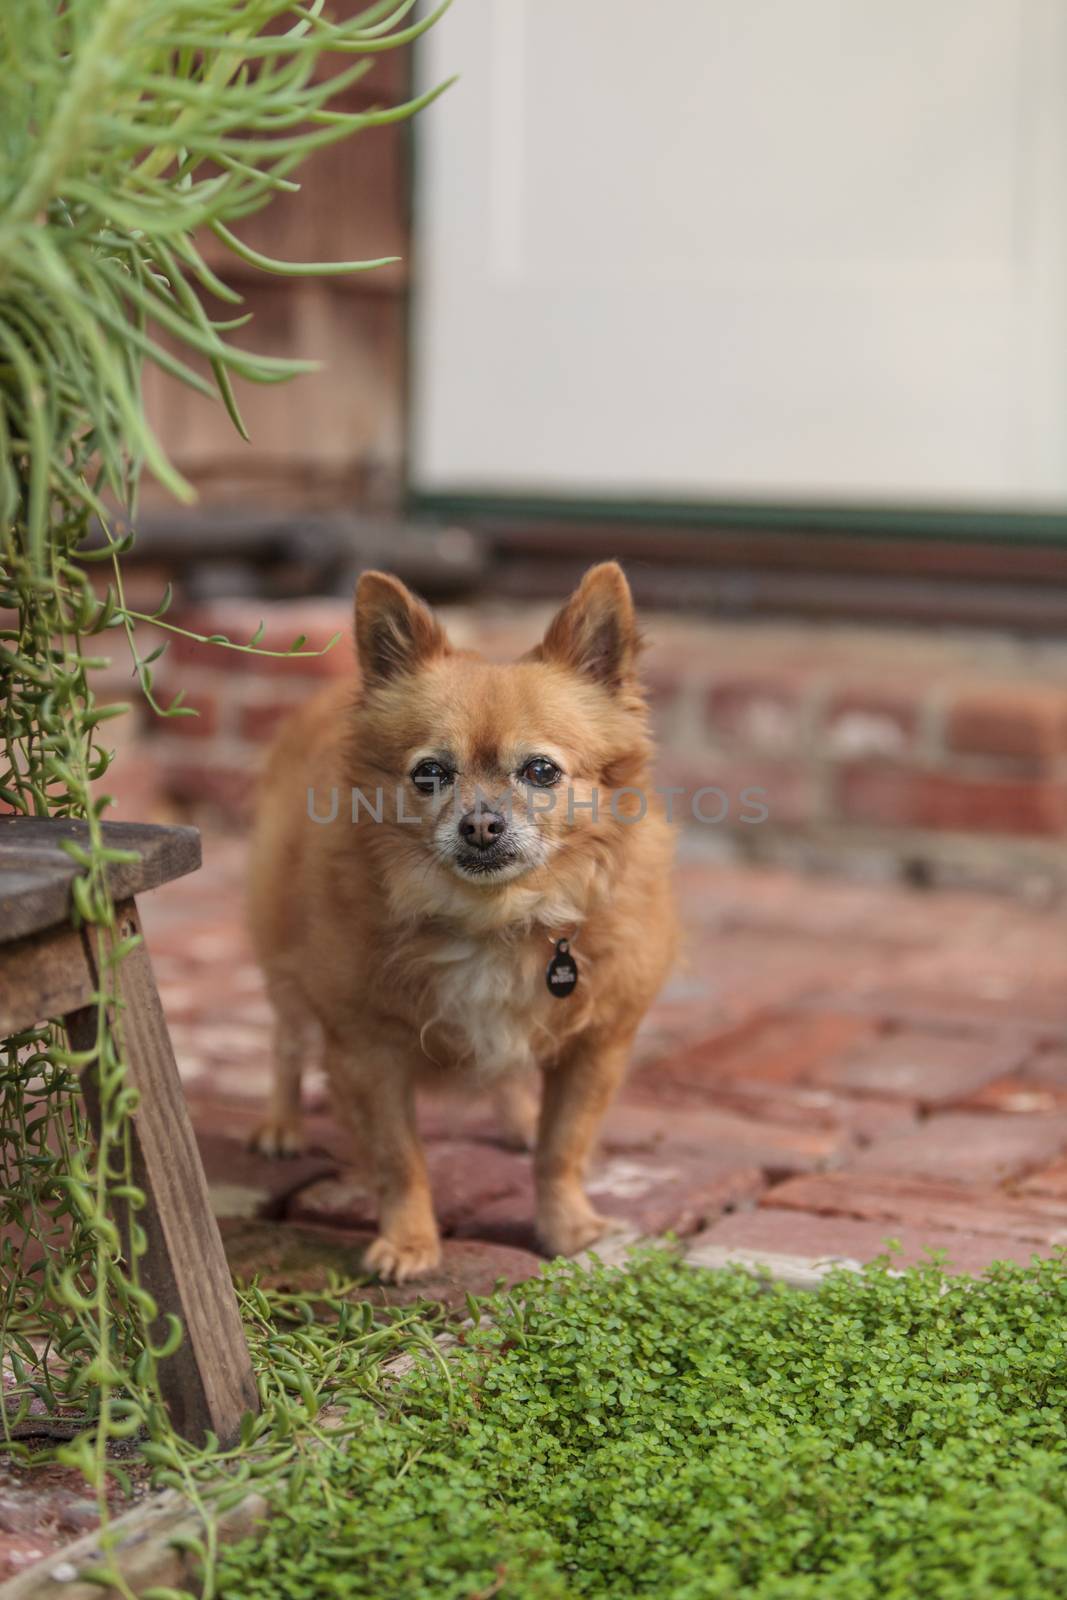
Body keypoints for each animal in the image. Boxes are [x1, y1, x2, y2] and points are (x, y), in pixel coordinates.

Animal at [246, 556, 675, 1280]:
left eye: (541, 771)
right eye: (429, 774)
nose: (479, 825)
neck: (496, 918)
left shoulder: (596, 1045)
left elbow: (563, 1148)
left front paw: (567, 1228)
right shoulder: (366, 1047)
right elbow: (399, 1157)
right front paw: (409, 1241)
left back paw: (518, 1117)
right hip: (281, 951)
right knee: (285, 1037)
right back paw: (280, 1123)